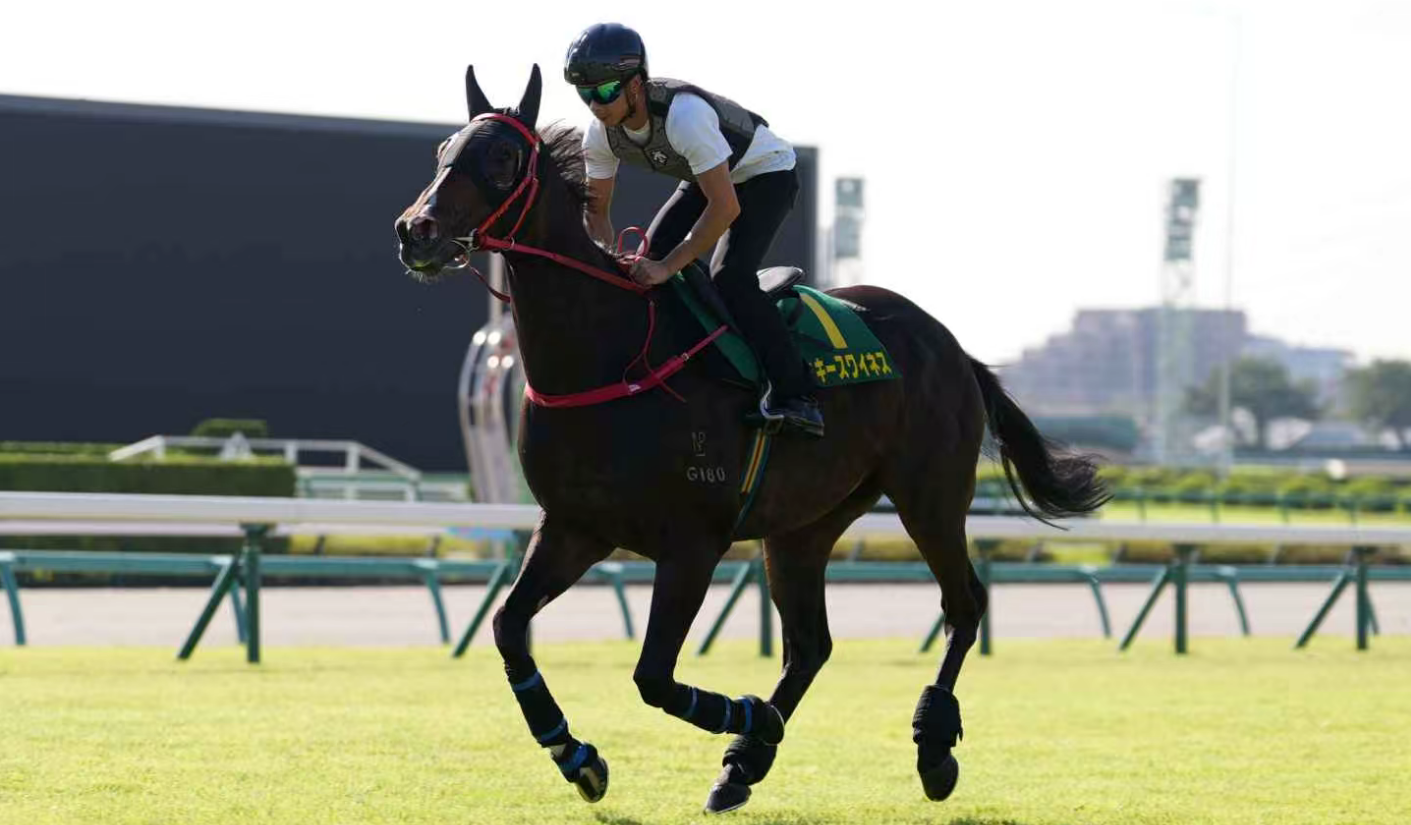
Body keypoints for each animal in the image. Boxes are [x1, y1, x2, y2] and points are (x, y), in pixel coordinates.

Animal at [394, 64, 1109, 814]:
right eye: (443, 149)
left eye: (502, 157)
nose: (416, 231)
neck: (609, 354)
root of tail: (951, 345)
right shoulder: (574, 526)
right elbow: (509, 628)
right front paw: (575, 753)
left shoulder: (692, 542)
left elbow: (652, 675)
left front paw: (745, 715)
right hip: (805, 525)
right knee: (810, 645)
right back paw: (741, 765)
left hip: (930, 495)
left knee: (963, 605)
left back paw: (931, 747)